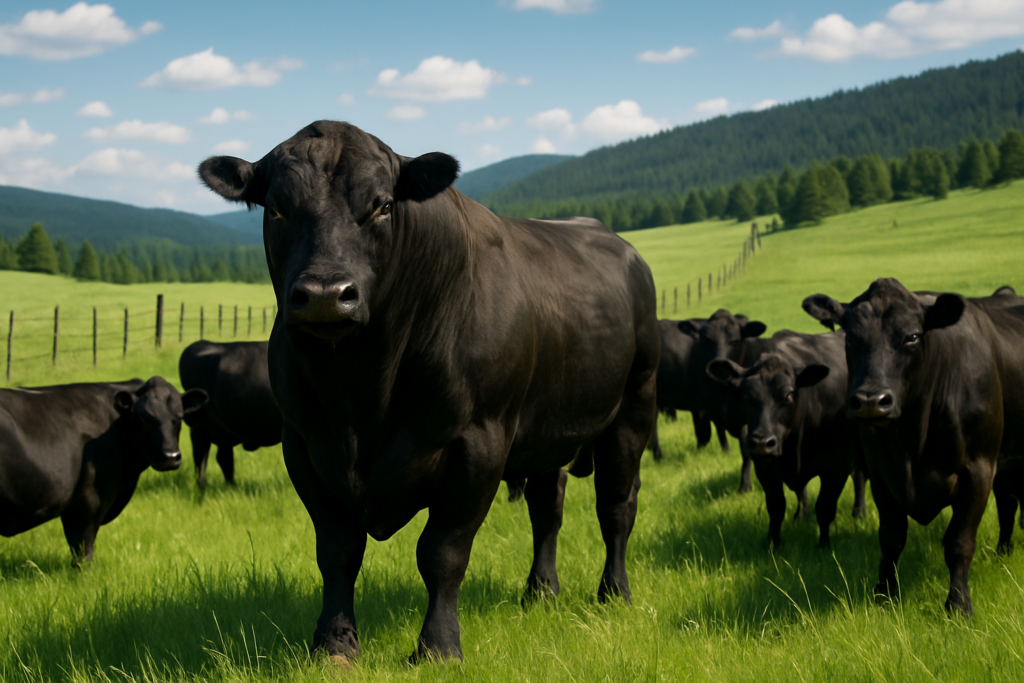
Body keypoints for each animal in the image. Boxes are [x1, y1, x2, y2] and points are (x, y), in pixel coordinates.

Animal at [179, 340, 283, 488]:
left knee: (221, 457)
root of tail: (201, 343)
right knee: (202, 455)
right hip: (202, 426)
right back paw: (204, 485)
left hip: (221, 429)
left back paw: (231, 486)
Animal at [198, 120, 660, 663]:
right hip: (549, 429)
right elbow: (336, 550)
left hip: (633, 407)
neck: (359, 395)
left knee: (616, 506)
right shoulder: (304, 444)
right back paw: (540, 592)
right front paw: (334, 644)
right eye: (276, 208)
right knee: (547, 506)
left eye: (381, 205)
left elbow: (442, 551)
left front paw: (438, 647)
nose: (327, 296)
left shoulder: (478, 443)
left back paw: (613, 593)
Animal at [706, 330, 866, 548]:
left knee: (859, 477)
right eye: (746, 396)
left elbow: (825, 507)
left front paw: (824, 546)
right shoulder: (765, 468)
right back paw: (801, 515)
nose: (761, 443)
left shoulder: (836, 467)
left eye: (789, 394)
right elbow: (776, 507)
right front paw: (772, 544)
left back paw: (859, 512)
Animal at [802, 279, 1024, 616]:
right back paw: (1003, 551)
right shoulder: (882, 473)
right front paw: (884, 593)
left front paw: (958, 604)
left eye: (913, 337)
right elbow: (891, 537)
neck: (911, 439)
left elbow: (959, 542)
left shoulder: (979, 468)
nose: (871, 401)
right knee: (1008, 503)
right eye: (850, 337)